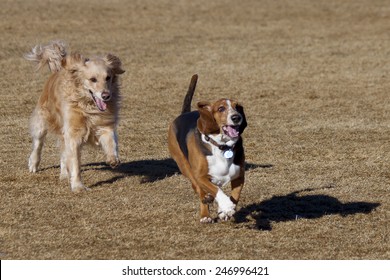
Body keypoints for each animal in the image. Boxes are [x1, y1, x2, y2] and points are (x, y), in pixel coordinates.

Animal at [24, 40, 124, 192]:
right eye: (93, 79)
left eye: (108, 77)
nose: (106, 96)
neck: (88, 106)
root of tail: (57, 69)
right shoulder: (73, 133)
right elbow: (75, 162)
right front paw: (78, 186)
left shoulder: (104, 125)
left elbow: (111, 140)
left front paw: (113, 159)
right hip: (42, 120)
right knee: (38, 144)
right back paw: (33, 164)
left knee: (63, 153)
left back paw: (64, 175)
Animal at [168, 75, 247, 223]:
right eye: (221, 109)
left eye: (238, 107)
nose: (236, 117)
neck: (222, 146)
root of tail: (184, 114)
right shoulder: (201, 176)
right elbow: (215, 190)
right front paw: (226, 206)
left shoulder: (239, 176)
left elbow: (235, 196)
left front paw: (224, 210)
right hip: (184, 165)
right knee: (198, 189)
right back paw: (205, 213)